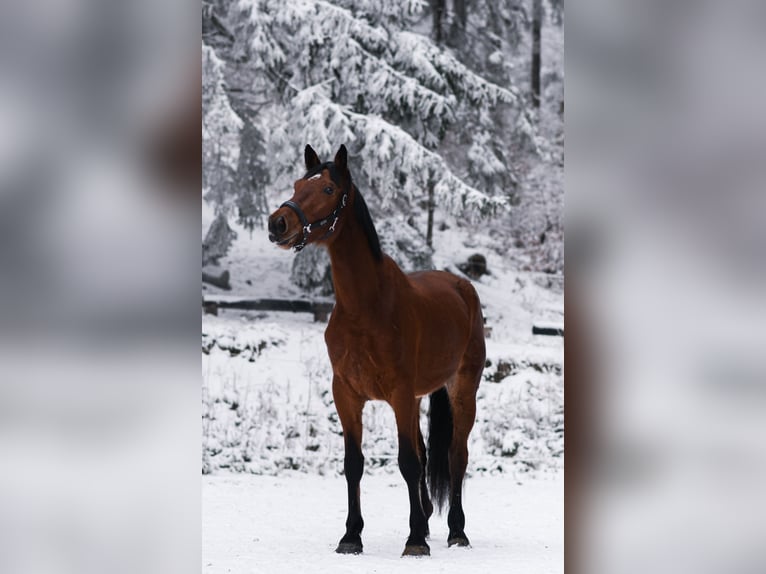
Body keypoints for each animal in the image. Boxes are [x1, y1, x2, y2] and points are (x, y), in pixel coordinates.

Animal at [268, 144, 486, 557]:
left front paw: (414, 540)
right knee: (429, 453)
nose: (278, 224)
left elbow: (408, 462)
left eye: (328, 189)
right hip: (418, 398)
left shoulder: (399, 394)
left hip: (462, 390)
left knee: (456, 456)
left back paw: (457, 531)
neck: (365, 308)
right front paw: (351, 535)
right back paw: (430, 520)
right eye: (298, 184)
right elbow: (355, 463)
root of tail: (461, 286)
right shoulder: (347, 395)